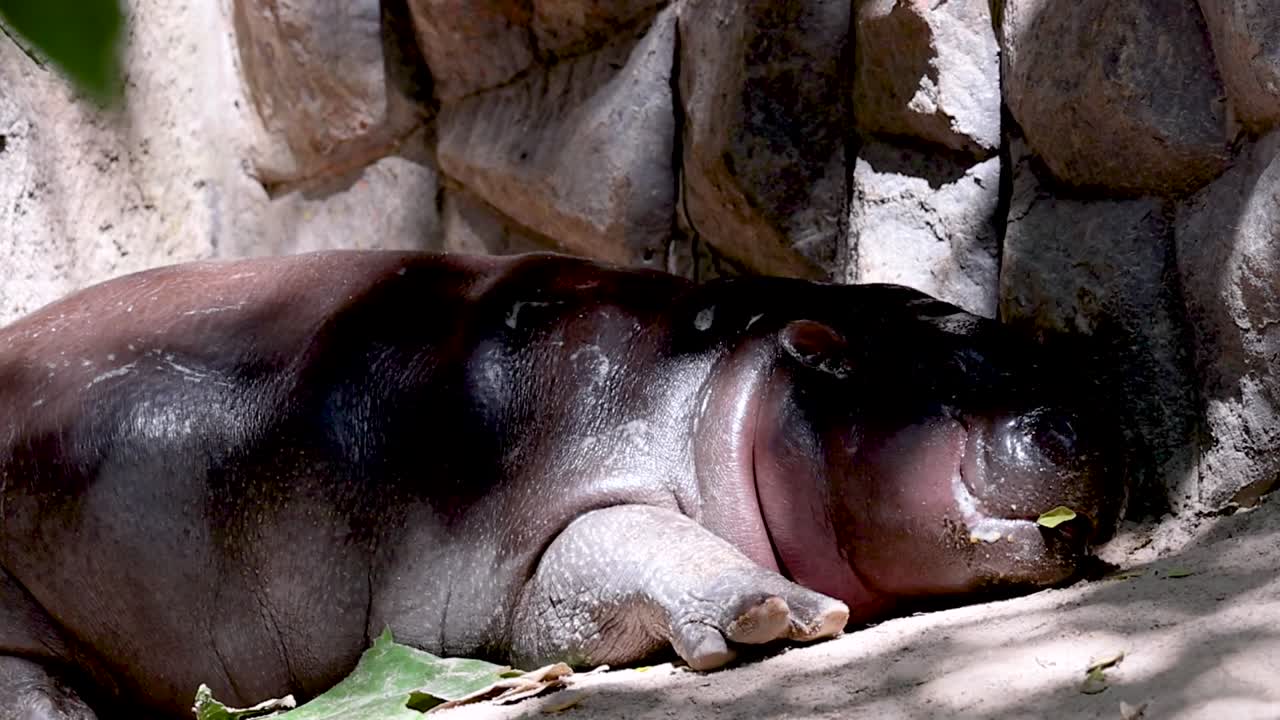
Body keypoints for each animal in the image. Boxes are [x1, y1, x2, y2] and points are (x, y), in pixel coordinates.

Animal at [0, 251, 1124, 719]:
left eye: (1003, 337)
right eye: (948, 368)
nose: (1082, 419)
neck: (724, 378)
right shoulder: (547, 522)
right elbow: (631, 544)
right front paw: (780, 615)